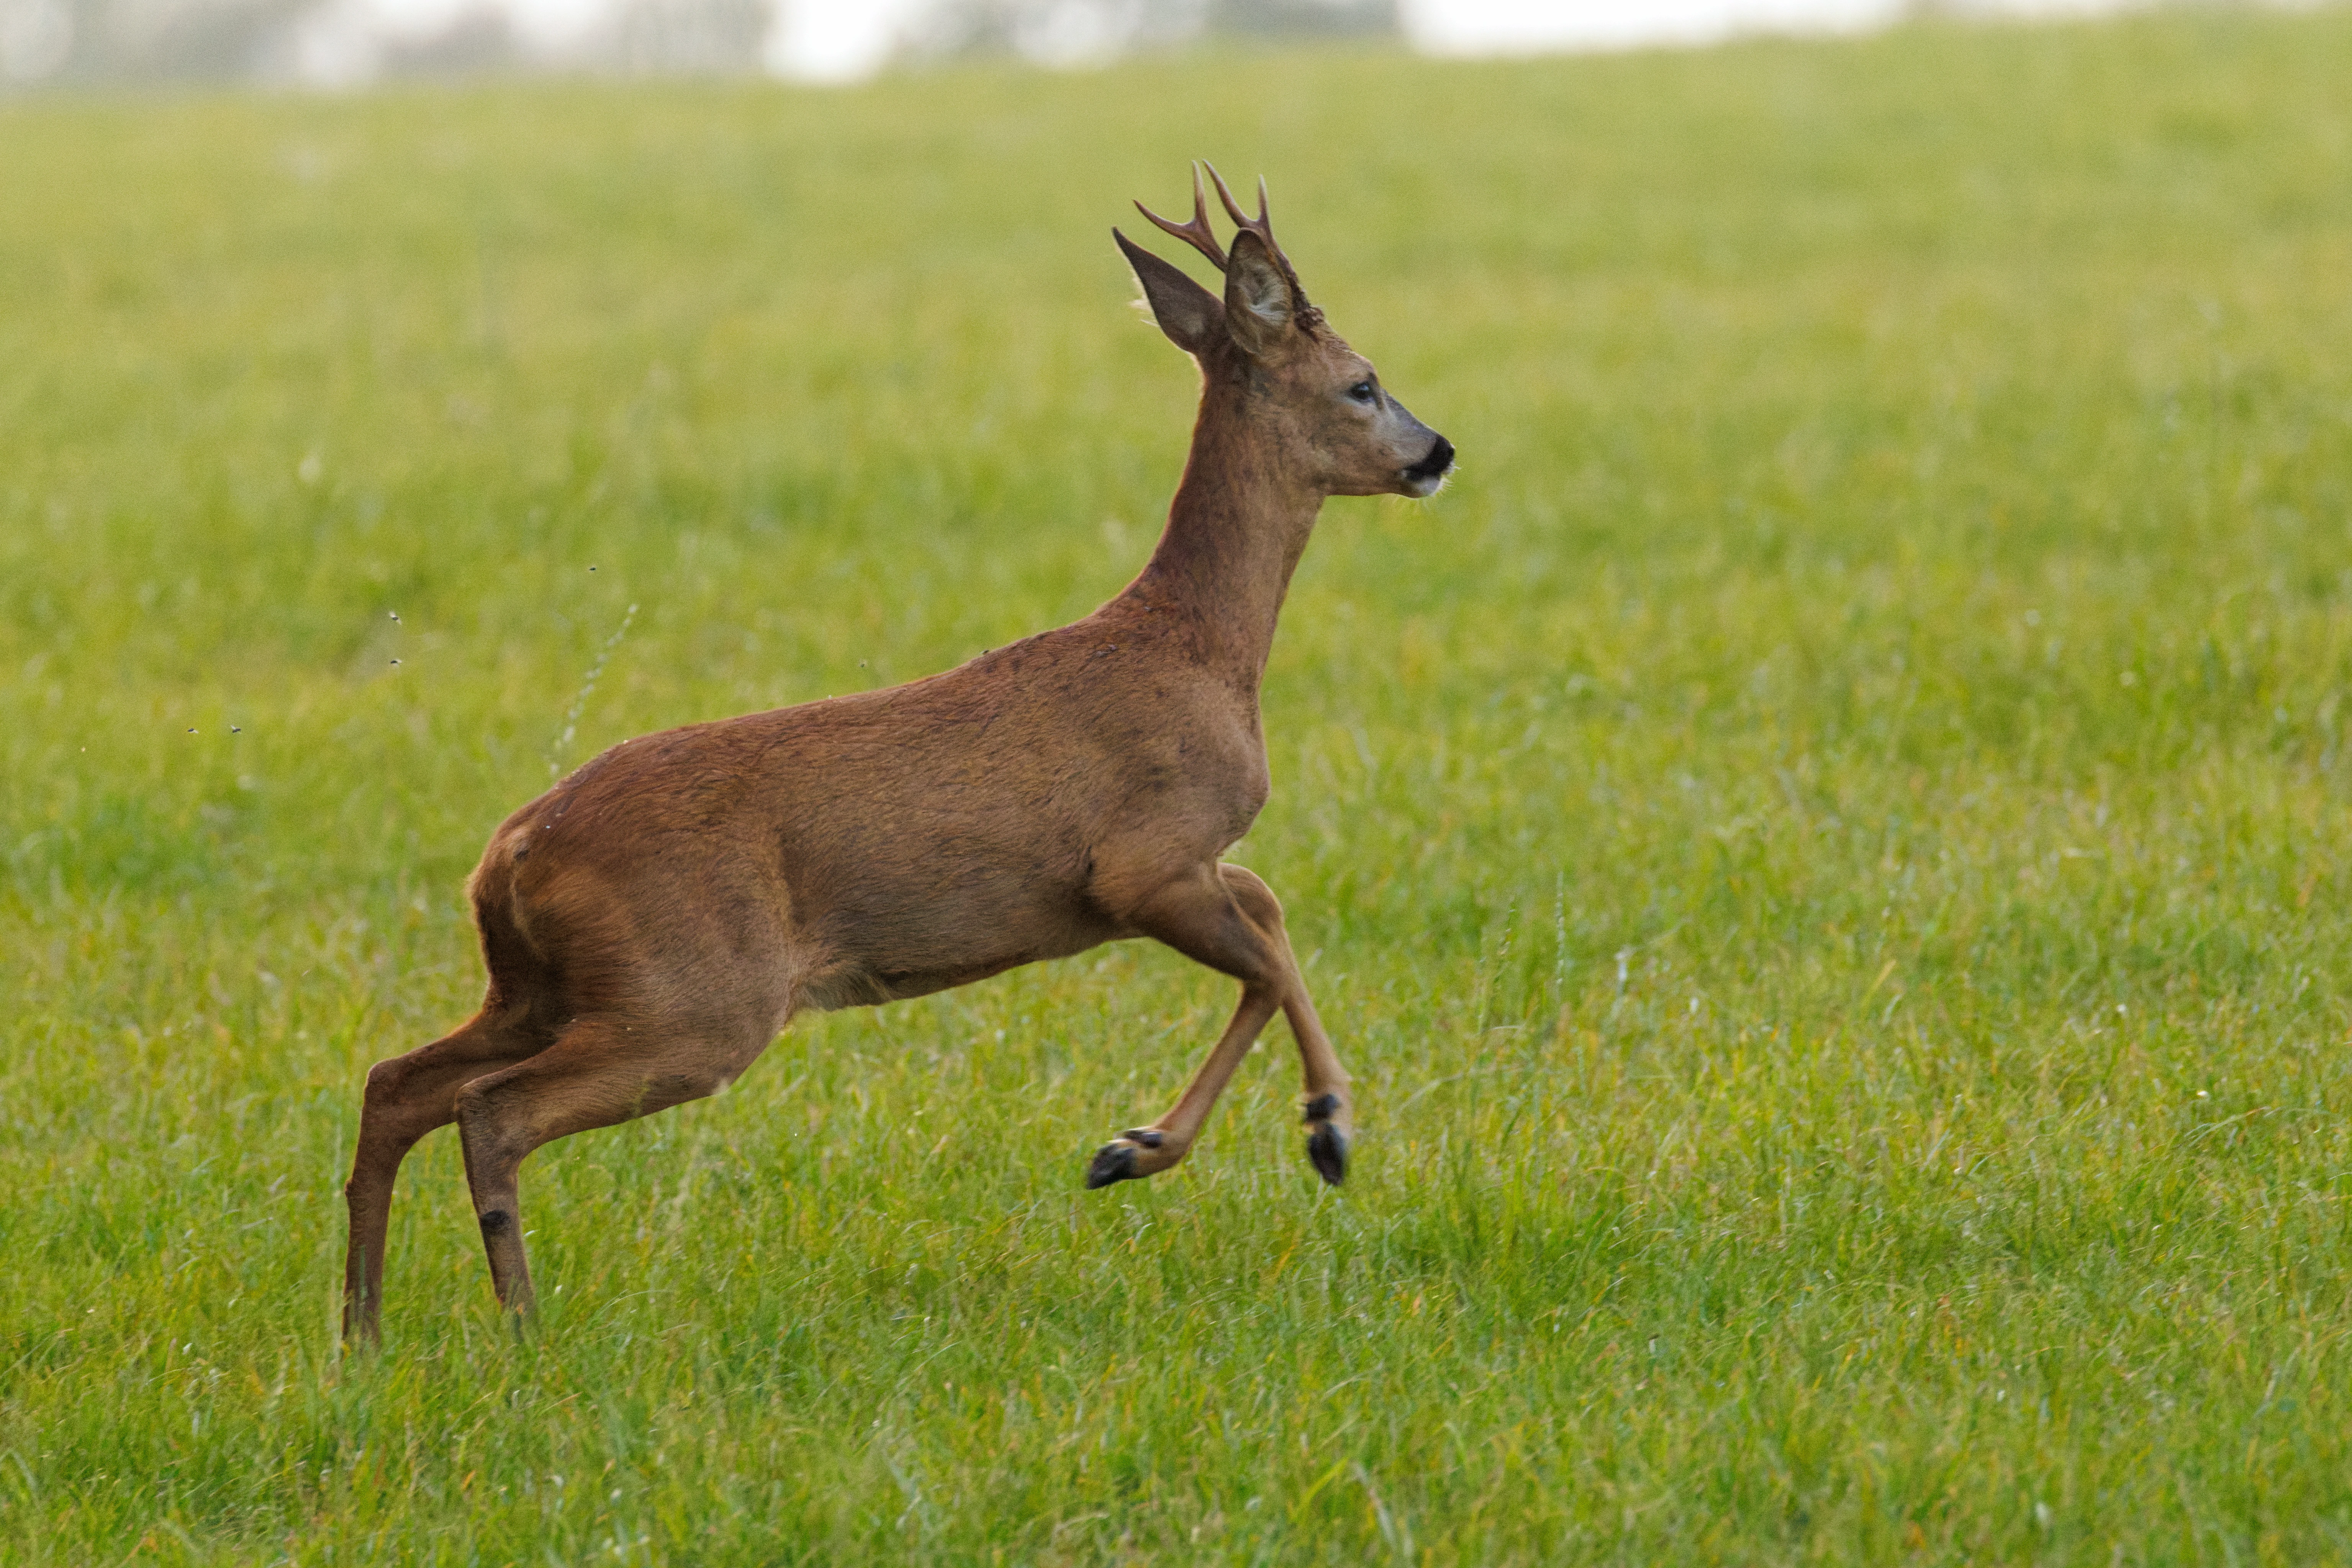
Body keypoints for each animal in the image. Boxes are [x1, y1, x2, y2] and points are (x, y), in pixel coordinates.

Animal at [340, 164, 1455, 1345]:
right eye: (1362, 383)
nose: (1437, 452)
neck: (1202, 647)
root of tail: (507, 852)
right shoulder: (1140, 861)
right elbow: (1266, 956)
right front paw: (1261, 1135)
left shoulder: (1179, 866)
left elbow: (1271, 915)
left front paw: (1218, 1137)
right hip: (692, 999)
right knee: (490, 1108)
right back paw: (517, 1328)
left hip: (547, 985)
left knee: (396, 1082)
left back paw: (361, 1331)